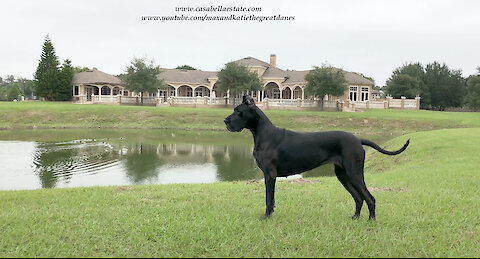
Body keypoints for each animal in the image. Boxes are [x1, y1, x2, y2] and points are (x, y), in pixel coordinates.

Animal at [224, 95, 408, 221]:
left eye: (238, 111)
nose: (225, 121)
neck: (263, 134)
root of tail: (358, 139)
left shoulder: (269, 175)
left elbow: (269, 199)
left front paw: (266, 217)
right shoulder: (270, 176)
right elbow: (272, 199)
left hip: (354, 173)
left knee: (369, 198)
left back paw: (371, 221)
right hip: (343, 175)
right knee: (358, 198)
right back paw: (355, 218)